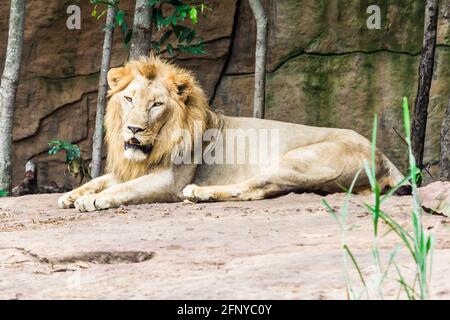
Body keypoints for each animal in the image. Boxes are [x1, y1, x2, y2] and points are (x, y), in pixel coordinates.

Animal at [58, 55, 406, 211]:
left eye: (156, 104)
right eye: (129, 99)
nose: (133, 128)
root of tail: (382, 155)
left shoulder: (169, 180)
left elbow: (125, 189)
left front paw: (93, 200)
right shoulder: (131, 168)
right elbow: (101, 180)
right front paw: (72, 195)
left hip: (299, 160)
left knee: (255, 188)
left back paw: (201, 193)